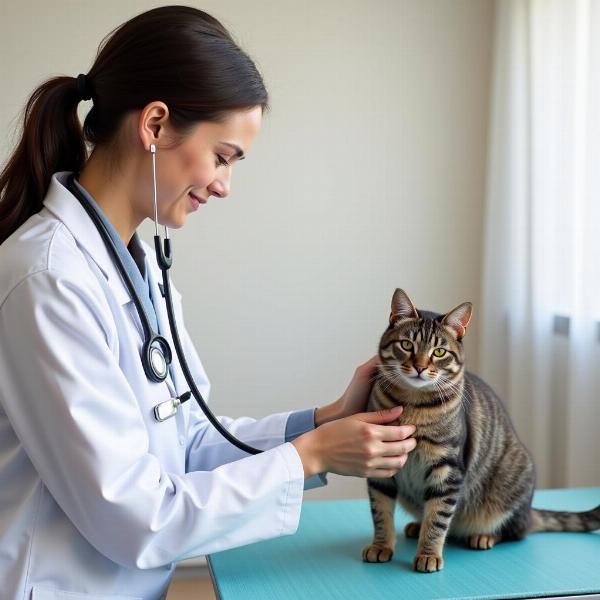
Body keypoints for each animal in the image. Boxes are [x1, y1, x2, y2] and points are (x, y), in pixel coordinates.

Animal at [360, 290, 600, 572]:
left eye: (439, 352)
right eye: (407, 345)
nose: (419, 367)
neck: (412, 404)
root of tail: (529, 511)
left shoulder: (448, 468)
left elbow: (437, 518)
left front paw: (429, 553)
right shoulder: (381, 466)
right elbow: (381, 513)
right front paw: (381, 545)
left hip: (511, 485)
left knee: (515, 531)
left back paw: (484, 536)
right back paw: (417, 525)